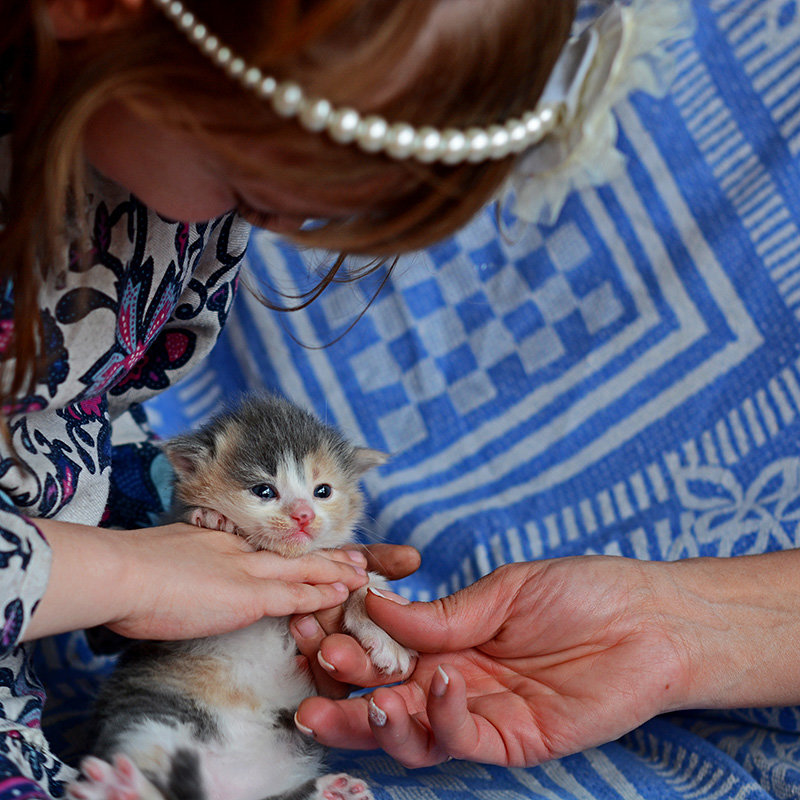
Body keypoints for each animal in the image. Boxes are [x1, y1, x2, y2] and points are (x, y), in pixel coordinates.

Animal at [68, 394, 412, 800]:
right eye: (264, 491)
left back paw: (333, 791)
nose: (304, 515)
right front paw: (212, 518)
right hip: (147, 721)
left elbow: (361, 583)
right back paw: (123, 789)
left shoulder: (333, 567)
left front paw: (386, 638)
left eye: (323, 491)